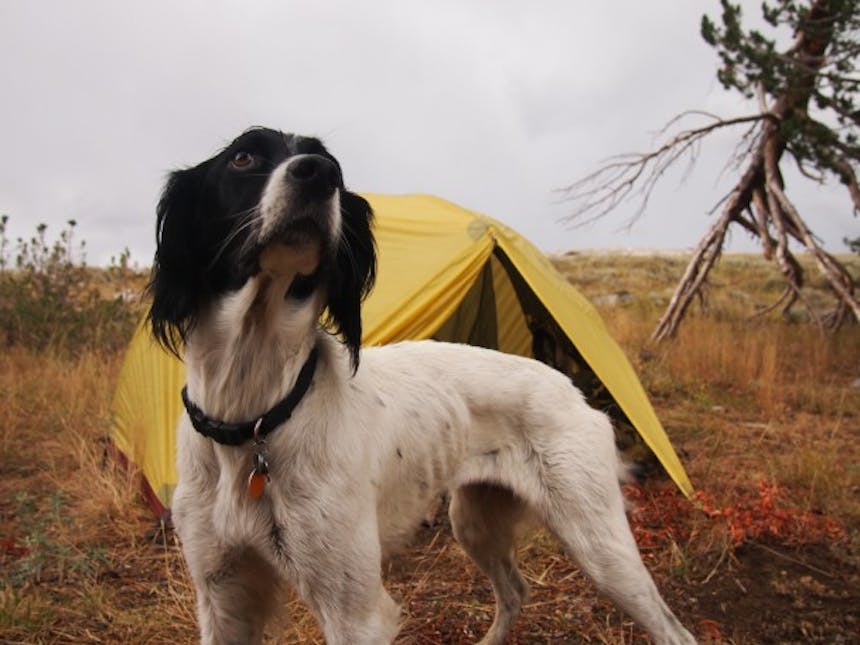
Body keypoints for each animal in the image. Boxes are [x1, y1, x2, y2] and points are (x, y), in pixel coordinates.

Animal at [148, 127, 700, 644]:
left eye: (334, 168)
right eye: (242, 157)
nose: (319, 175)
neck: (257, 415)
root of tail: (573, 389)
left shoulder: (356, 613)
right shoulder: (224, 596)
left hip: (598, 542)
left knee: (675, 631)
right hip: (475, 519)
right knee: (515, 590)